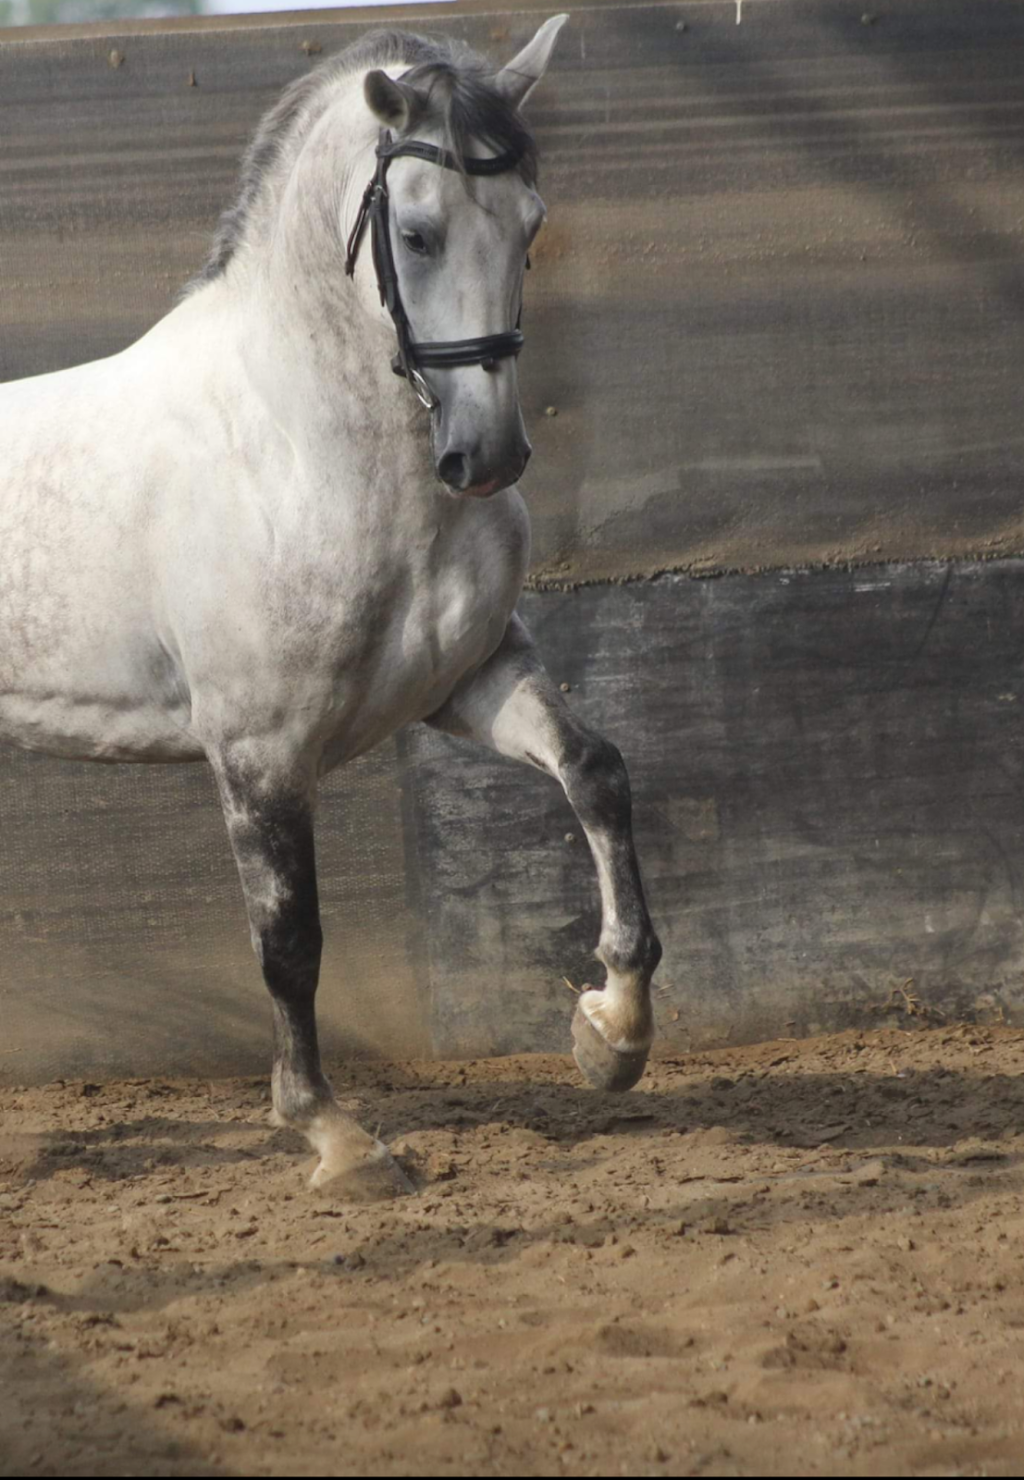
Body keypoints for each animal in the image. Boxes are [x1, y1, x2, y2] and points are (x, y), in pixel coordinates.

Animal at [0, 17, 662, 1195]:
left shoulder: (469, 681)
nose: (486, 457)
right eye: (417, 230)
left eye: (531, 225)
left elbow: (597, 773)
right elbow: (290, 940)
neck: (304, 448)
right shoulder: (259, 751)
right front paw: (335, 1136)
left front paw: (610, 1034)